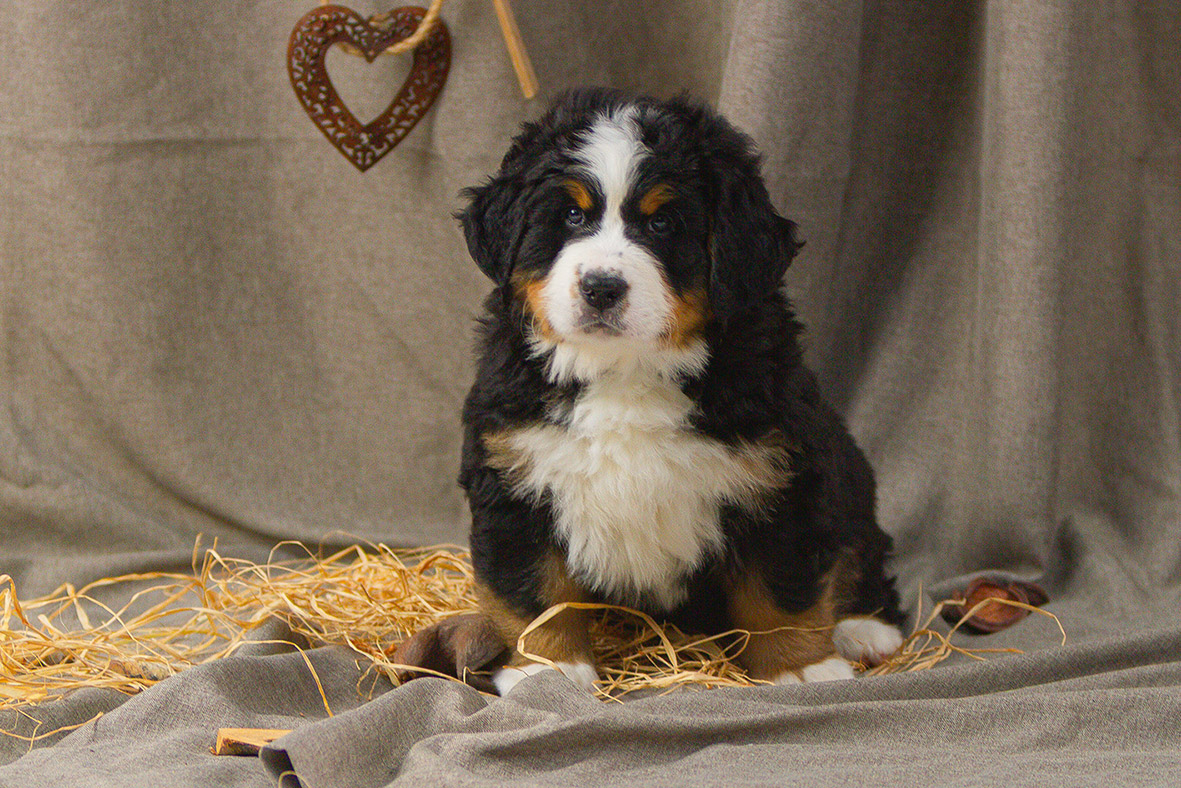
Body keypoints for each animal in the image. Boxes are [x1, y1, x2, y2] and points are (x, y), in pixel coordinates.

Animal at [457, 88, 905, 694]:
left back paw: (865, 627)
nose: (601, 288)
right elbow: (533, 590)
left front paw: (799, 665)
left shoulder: (782, 475)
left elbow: (782, 586)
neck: (626, 370)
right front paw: (549, 670)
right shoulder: (513, 477)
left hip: (849, 470)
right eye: (572, 215)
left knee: (861, 546)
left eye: (663, 223)